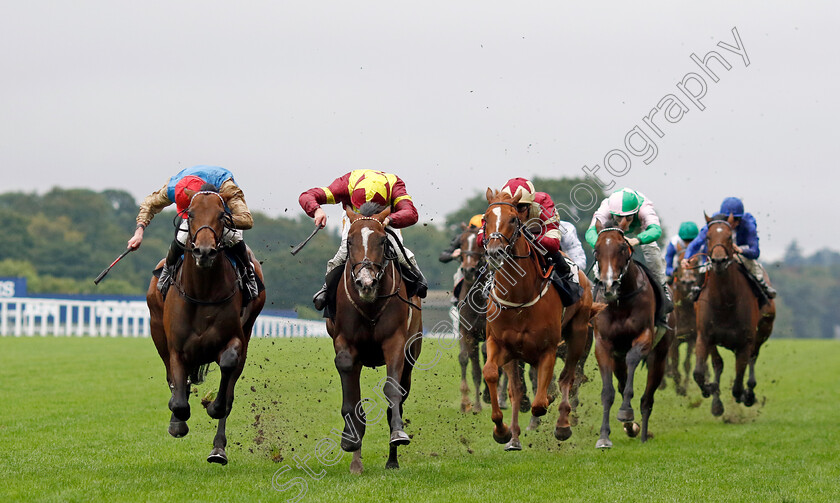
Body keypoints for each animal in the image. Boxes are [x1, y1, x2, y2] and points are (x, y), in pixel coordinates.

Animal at [146, 187, 266, 466]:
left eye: (222, 215)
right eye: (190, 214)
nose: (204, 252)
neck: (203, 291)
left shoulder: (235, 338)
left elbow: (227, 371)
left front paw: (212, 407)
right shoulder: (177, 348)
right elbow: (178, 396)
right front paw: (177, 421)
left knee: (228, 390)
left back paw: (218, 449)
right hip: (157, 329)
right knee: (173, 379)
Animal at [326, 203, 424, 474]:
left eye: (382, 240)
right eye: (349, 241)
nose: (366, 282)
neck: (369, 306)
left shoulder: (395, 343)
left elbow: (392, 392)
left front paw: (398, 435)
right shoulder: (345, 344)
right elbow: (352, 401)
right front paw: (350, 440)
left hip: (411, 357)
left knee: (400, 396)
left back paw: (392, 460)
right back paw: (356, 462)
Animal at [480, 190, 596, 452]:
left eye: (513, 219)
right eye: (485, 218)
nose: (495, 251)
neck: (519, 296)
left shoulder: (548, 350)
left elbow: (540, 402)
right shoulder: (500, 344)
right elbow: (493, 375)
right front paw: (502, 430)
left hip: (578, 335)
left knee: (567, 378)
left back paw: (563, 425)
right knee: (519, 388)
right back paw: (514, 437)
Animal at [592, 219, 676, 446]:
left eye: (623, 247)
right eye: (596, 250)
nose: (609, 285)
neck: (620, 302)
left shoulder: (644, 336)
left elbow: (632, 361)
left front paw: (626, 412)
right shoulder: (603, 344)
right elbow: (608, 392)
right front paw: (604, 437)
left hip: (660, 357)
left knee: (647, 399)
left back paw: (644, 434)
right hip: (617, 359)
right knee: (621, 385)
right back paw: (631, 428)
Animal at [692, 215, 776, 416]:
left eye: (730, 238)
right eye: (708, 237)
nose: (718, 261)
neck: (725, 302)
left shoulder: (745, 341)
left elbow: (738, 382)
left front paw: (744, 395)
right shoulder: (705, 336)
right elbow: (701, 372)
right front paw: (711, 391)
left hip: (763, 331)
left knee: (753, 357)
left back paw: (749, 393)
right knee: (719, 364)